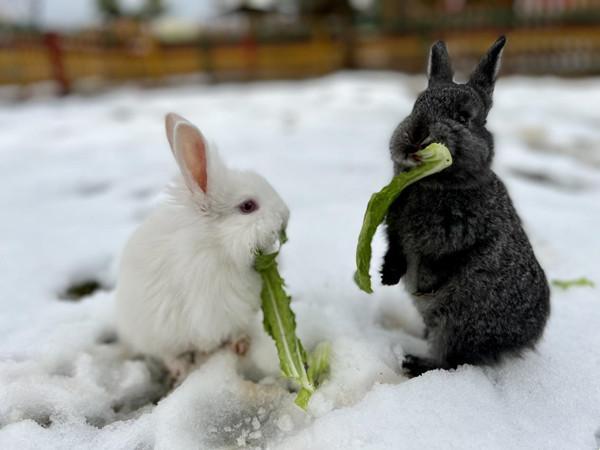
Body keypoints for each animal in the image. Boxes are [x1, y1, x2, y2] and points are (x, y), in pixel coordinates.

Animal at [382, 37, 552, 376]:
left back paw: (414, 363)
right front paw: (388, 275)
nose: (416, 135)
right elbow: (395, 247)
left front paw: (425, 286)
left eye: (463, 118)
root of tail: (527, 338)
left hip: (459, 322)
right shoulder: (395, 226)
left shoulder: (466, 238)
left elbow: (447, 262)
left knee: (453, 360)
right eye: (415, 106)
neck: (434, 183)